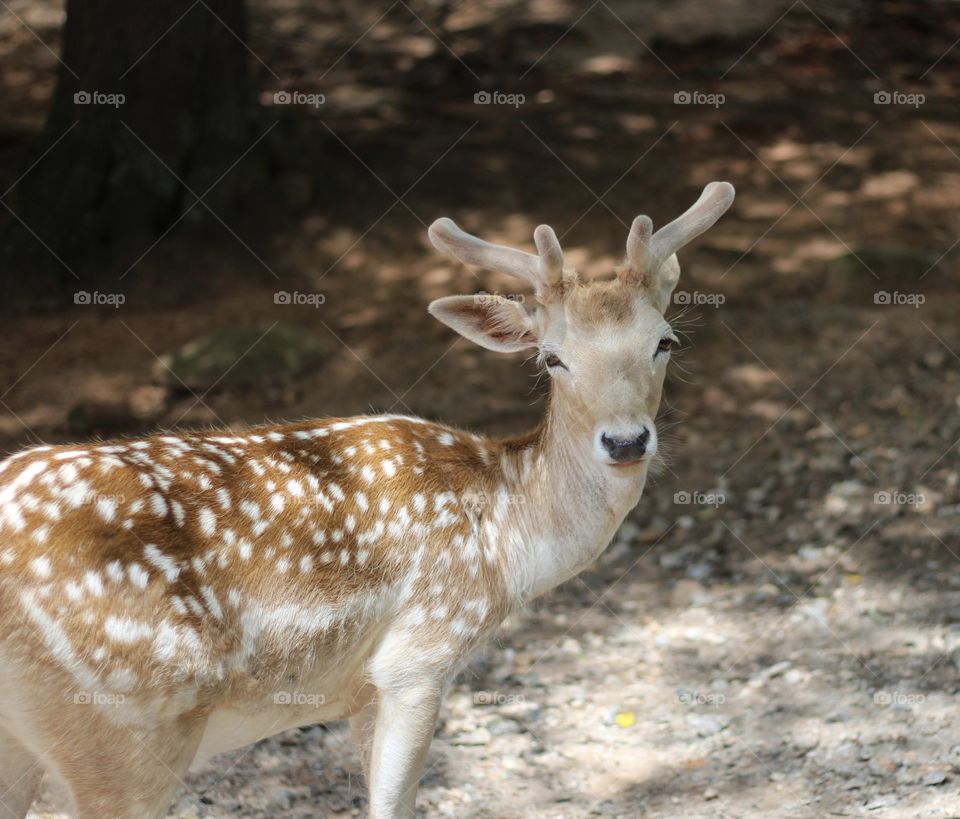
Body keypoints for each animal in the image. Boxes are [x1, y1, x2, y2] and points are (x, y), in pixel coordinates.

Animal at [0, 181, 734, 819]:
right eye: (551, 357)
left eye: (665, 341)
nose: (625, 439)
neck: (505, 542)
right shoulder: (421, 653)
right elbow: (393, 804)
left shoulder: (357, 691)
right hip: (123, 727)